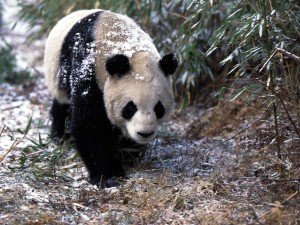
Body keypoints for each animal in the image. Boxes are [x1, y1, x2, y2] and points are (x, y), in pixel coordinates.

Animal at [44, 9, 178, 185]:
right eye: (130, 107)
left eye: (158, 108)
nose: (145, 133)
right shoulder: (88, 69)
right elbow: (90, 124)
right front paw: (109, 176)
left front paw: (127, 154)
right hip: (57, 74)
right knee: (62, 105)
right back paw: (61, 137)